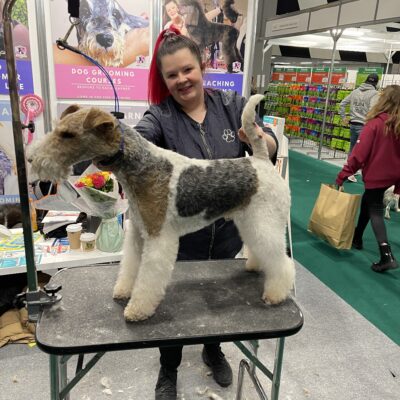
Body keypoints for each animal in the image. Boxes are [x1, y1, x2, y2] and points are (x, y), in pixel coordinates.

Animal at [28, 94, 294, 322]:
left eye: (68, 134)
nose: (31, 159)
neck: (141, 165)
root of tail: (260, 161)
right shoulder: (137, 232)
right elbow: (131, 267)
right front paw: (123, 291)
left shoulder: (158, 237)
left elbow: (148, 279)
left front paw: (137, 310)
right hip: (250, 220)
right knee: (262, 251)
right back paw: (255, 265)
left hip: (264, 221)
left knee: (283, 262)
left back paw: (276, 293)